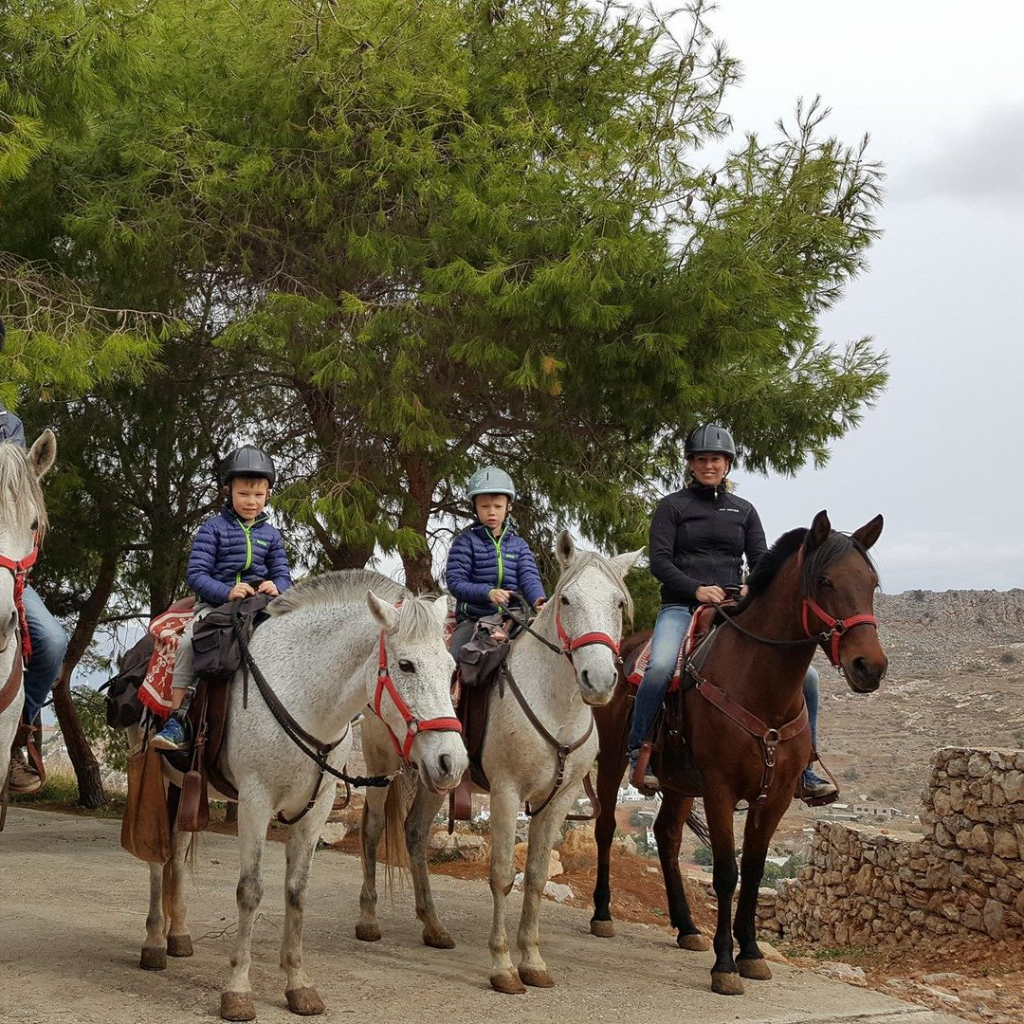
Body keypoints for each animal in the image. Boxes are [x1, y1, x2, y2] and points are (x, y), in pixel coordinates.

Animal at [132, 570, 468, 1021]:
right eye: (405, 665)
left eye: (451, 669)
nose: (452, 761)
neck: (303, 694)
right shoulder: (255, 803)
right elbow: (250, 891)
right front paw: (238, 990)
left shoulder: (316, 809)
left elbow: (297, 891)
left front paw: (298, 984)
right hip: (158, 778)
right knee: (159, 857)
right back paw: (154, 943)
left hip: (186, 787)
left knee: (179, 849)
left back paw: (179, 935)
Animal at [357, 531, 641, 993]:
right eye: (567, 600)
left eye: (618, 603)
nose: (598, 680)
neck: (555, 707)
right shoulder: (507, 792)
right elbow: (503, 875)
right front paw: (503, 965)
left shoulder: (558, 800)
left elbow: (537, 877)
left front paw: (534, 960)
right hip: (380, 767)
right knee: (373, 830)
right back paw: (368, 919)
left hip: (439, 775)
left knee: (415, 832)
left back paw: (433, 926)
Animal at [589, 510, 887, 996]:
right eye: (825, 581)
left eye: (873, 583)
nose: (870, 666)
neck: (759, 684)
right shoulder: (720, 789)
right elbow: (727, 871)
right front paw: (725, 964)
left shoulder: (775, 796)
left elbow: (754, 869)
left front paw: (750, 953)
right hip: (614, 763)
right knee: (606, 827)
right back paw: (602, 914)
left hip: (678, 783)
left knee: (667, 837)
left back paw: (687, 927)